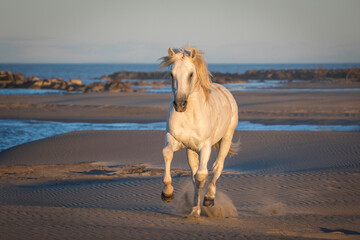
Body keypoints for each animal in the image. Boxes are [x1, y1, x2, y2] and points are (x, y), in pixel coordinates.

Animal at [159, 47, 238, 218]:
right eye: (171, 74)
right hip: (191, 150)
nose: (180, 104)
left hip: (226, 138)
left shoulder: (205, 146)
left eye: (190, 74)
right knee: (195, 173)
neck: (190, 115)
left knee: (217, 167)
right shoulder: (174, 139)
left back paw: (209, 198)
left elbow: (202, 175)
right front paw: (167, 193)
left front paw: (204, 202)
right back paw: (195, 210)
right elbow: (167, 154)